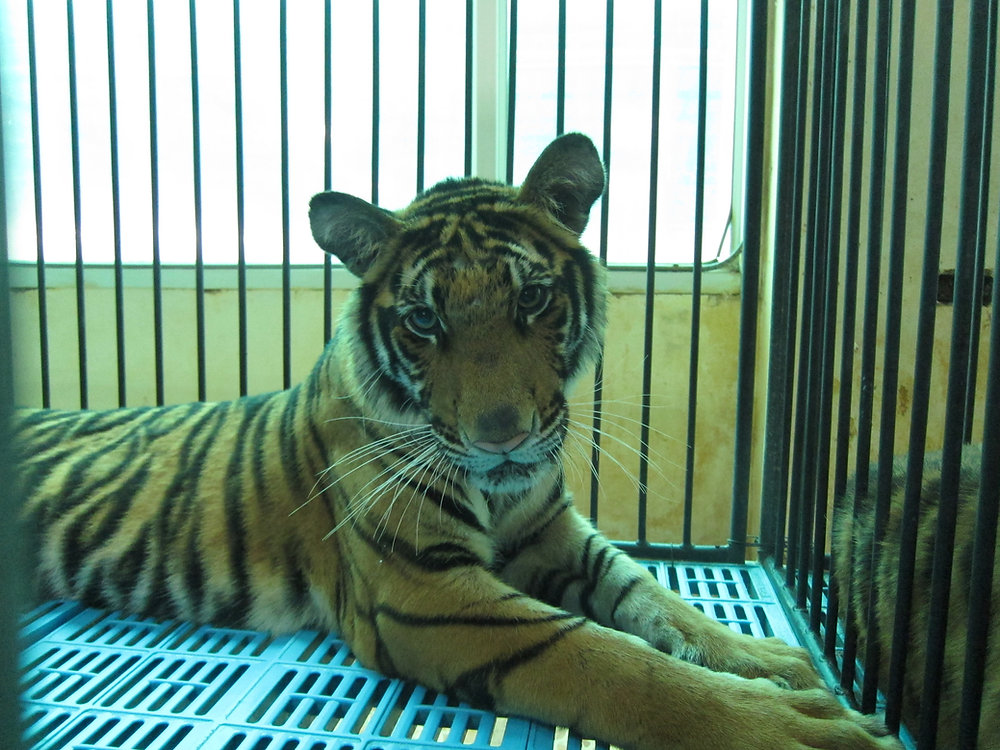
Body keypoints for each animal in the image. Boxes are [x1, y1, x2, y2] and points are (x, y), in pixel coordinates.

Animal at [13, 133, 901, 750]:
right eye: (422, 320)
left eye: (533, 298)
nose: (500, 439)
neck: (503, 495)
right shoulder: (427, 593)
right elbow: (612, 659)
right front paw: (793, 726)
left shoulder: (556, 533)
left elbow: (652, 595)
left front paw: (772, 661)